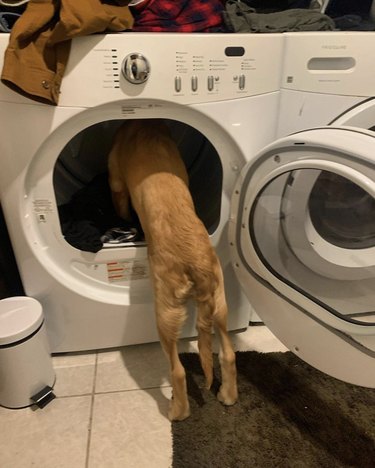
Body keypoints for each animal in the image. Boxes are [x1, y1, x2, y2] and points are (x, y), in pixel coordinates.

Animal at [108, 118, 238, 420]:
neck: (145, 128)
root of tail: (197, 265)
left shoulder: (116, 181)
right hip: (220, 301)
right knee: (228, 353)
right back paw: (228, 395)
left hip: (165, 312)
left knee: (177, 370)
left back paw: (177, 411)